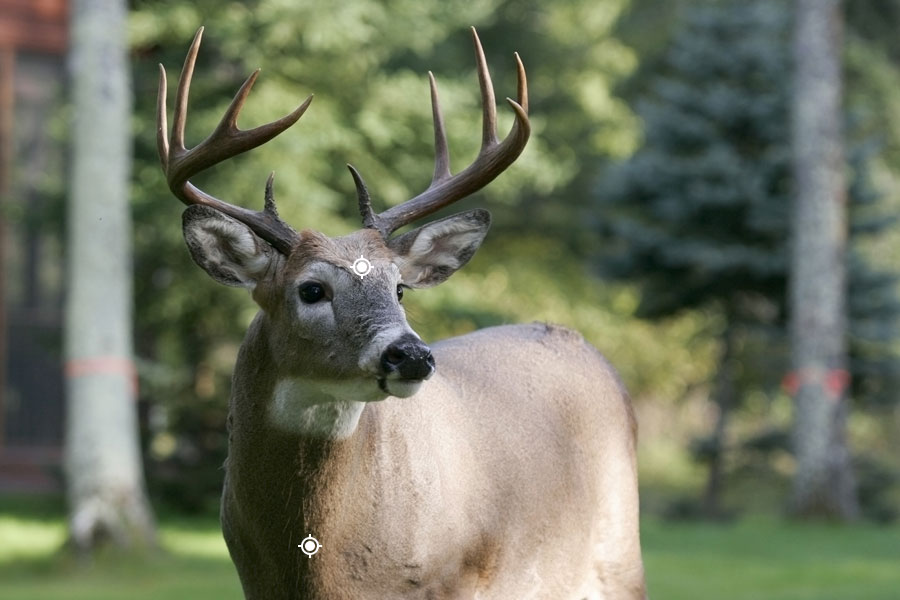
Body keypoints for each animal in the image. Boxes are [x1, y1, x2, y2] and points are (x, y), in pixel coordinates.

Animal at [156, 27, 648, 600]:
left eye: (400, 289)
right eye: (312, 290)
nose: (411, 355)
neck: (316, 569)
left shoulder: (455, 579)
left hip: (619, 557)